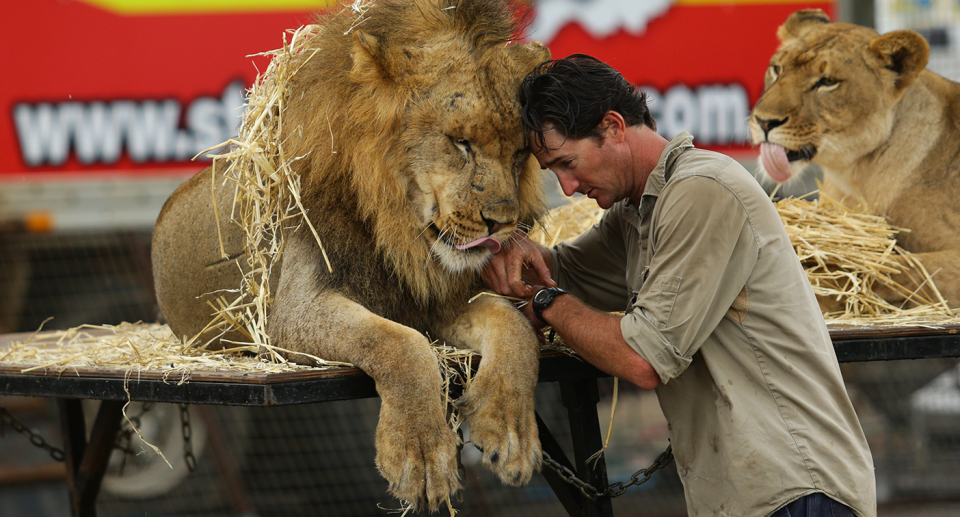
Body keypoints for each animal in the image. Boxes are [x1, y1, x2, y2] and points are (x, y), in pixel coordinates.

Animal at [154, 0, 552, 508]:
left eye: (520, 152)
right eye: (460, 142)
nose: (502, 223)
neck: (399, 234)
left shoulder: (436, 301)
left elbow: (516, 328)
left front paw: (512, 432)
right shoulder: (294, 314)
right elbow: (398, 344)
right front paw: (421, 455)